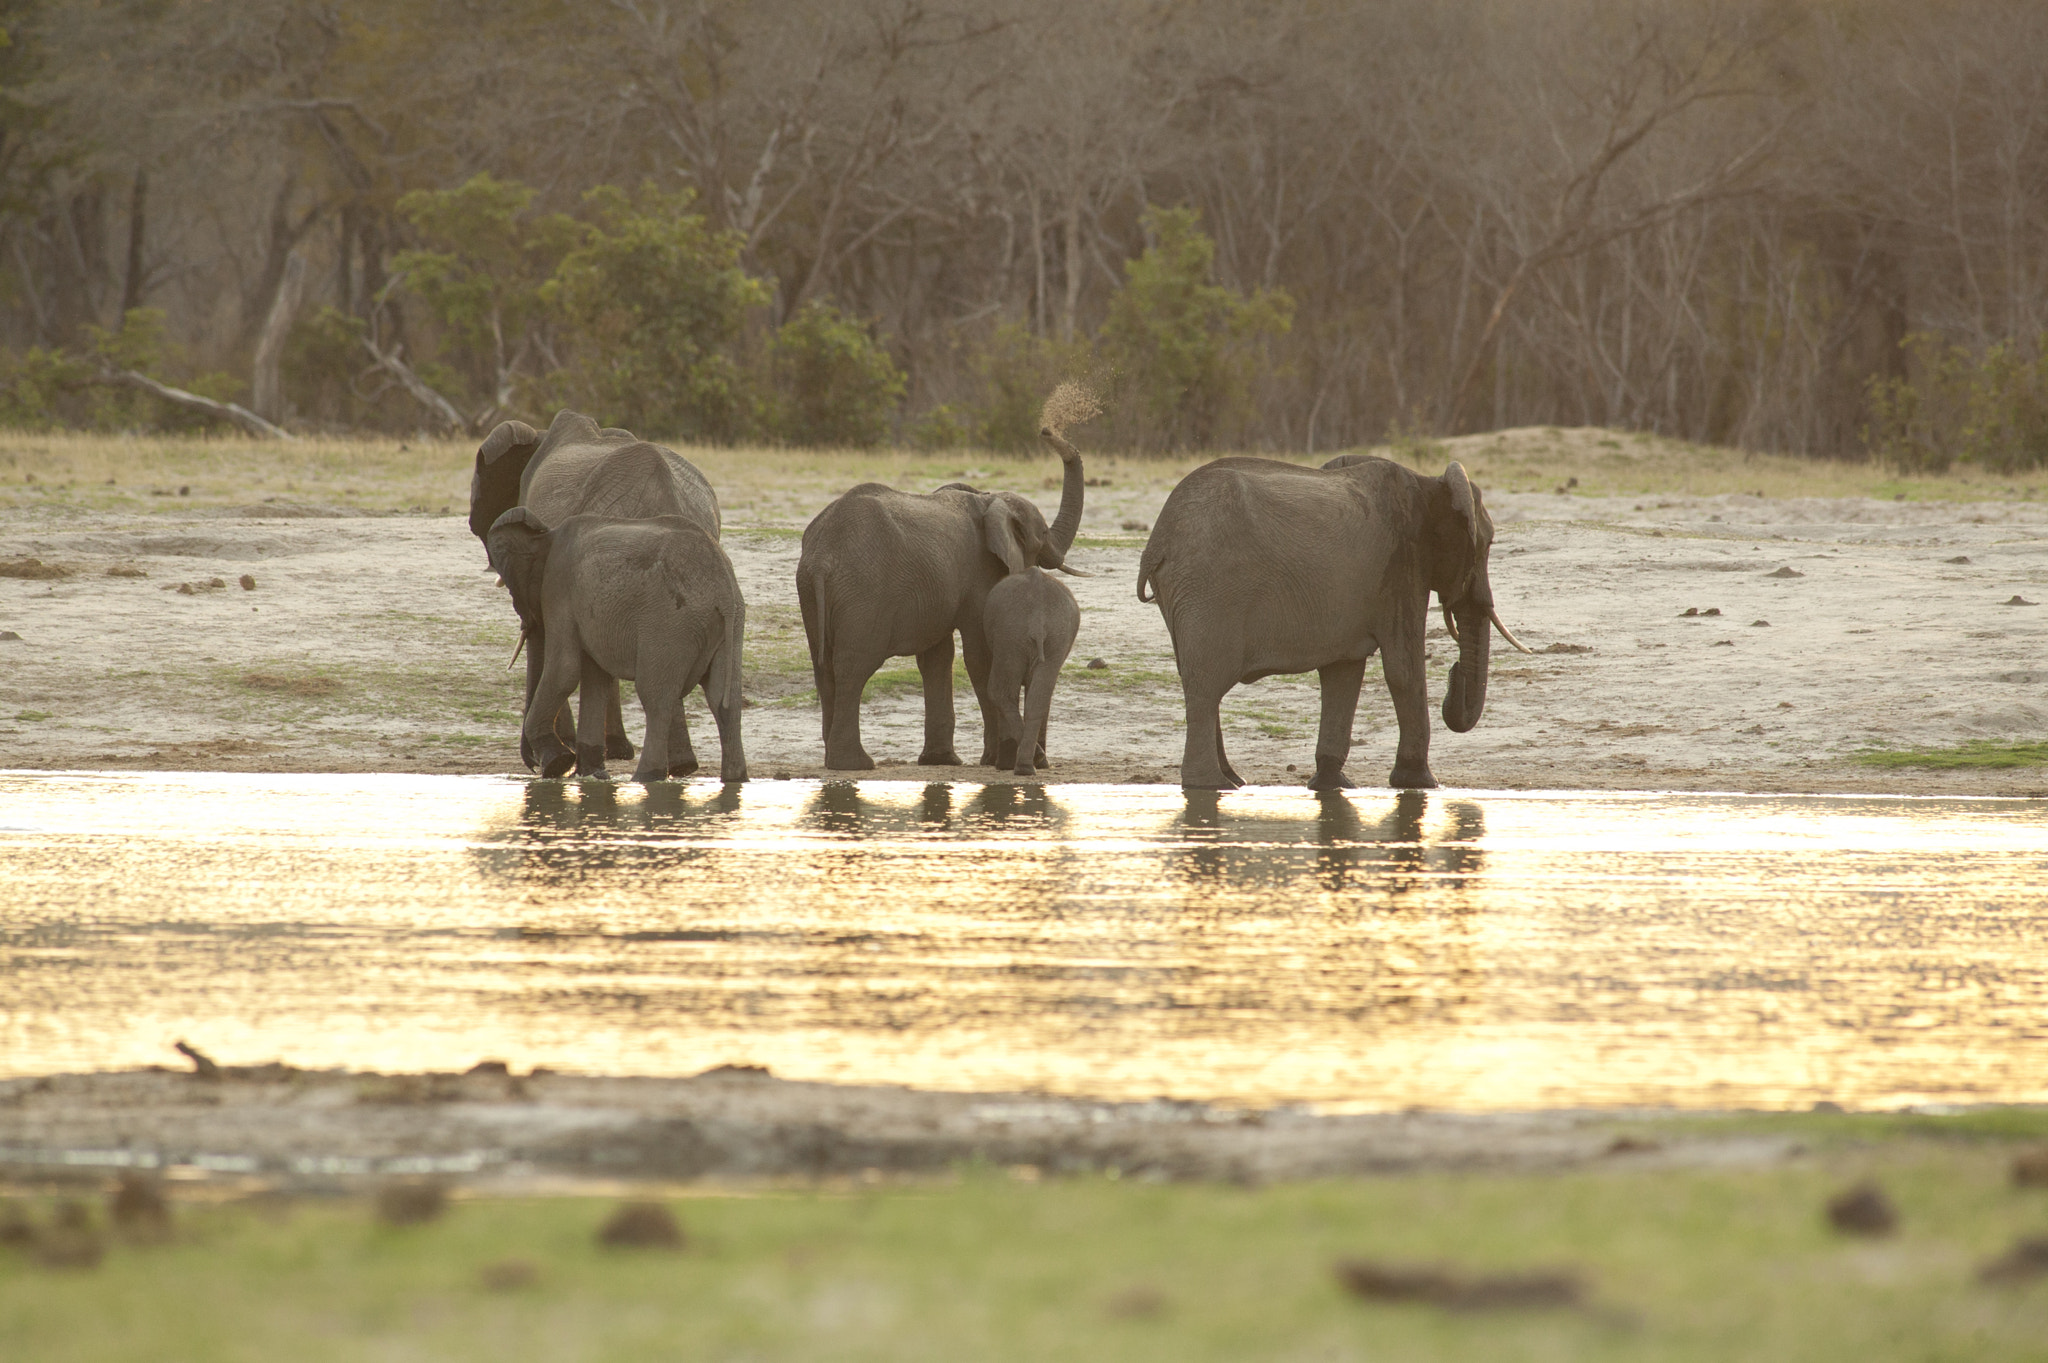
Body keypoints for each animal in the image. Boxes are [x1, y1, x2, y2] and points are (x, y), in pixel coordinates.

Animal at [483, 507, 749, 785]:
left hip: (671, 622)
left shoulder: (559, 589)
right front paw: (591, 775)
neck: (545, 534)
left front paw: (559, 764)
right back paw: (735, 779)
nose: (538, 768)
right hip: (728, 625)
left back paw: (645, 777)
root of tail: (724, 592)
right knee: (724, 700)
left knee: (656, 698)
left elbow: (564, 670)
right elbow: (596, 678)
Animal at [978, 564, 1081, 773]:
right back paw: (1031, 764)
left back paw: (1028, 764)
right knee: (1039, 696)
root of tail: (1037, 616)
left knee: (999, 691)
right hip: (1050, 636)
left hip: (1010, 635)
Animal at [1146, 448, 1531, 785]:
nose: (1454, 675)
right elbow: (1403, 670)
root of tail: (1156, 543)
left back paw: (1234, 781)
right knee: (1206, 684)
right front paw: (1421, 783)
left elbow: (1343, 672)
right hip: (1209, 591)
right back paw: (1210, 786)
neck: (1431, 483)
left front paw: (1333, 784)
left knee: (1198, 682)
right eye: (1488, 545)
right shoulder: (1402, 566)